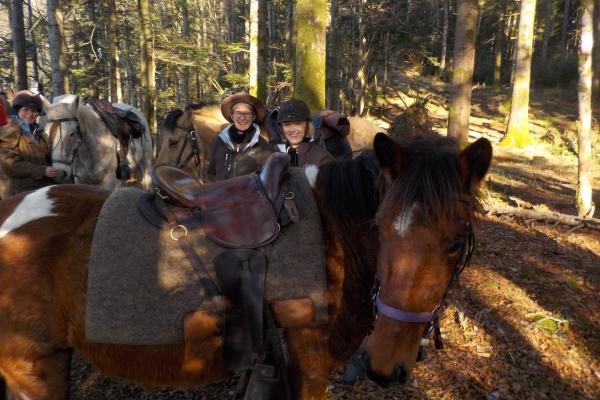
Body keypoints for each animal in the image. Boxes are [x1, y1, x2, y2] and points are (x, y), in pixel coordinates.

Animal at [0, 133, 492, 398]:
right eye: (382, 228)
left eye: (454, 244)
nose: (384, 365)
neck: (334, 238)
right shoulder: (310, 372)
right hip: (33, 368)